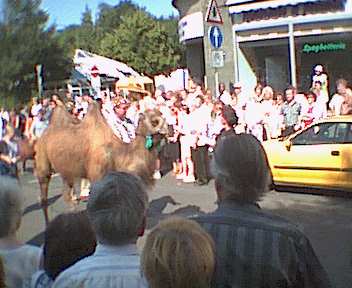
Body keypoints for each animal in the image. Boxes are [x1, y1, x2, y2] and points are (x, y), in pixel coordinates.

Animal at [35, 103, 168, 223]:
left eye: (162, 115)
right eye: (155, 121)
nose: (169, 130)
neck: (116, 153)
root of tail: (43, 134)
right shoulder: (97, 177)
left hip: (67, 172)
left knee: (68, 195)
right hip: (42, 158)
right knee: (44, 195)